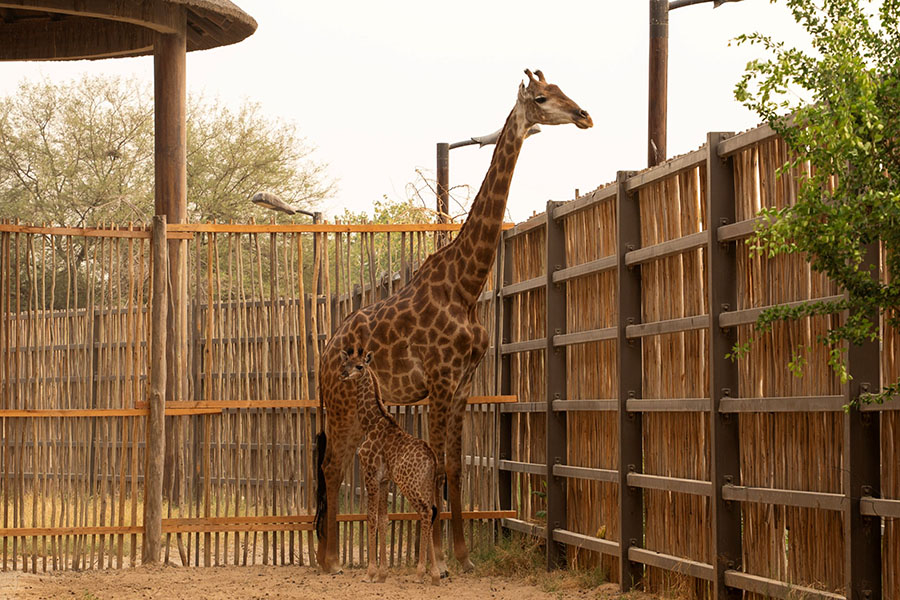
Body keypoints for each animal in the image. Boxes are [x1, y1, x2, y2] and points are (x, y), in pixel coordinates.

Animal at [339, 348, 442, 586]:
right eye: (345, 362)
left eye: (359, 366)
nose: (344, 374)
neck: (370, 423)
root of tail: (433, 459)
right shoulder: (384, 479)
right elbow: (384, 519)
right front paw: (382, 573)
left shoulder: (370, 474)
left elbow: (371, 518)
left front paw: (370, 573)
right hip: (427, 486)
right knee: (433, 513)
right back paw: (435, 574)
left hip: (409, 485)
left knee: (425, 513)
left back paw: (420, 573)